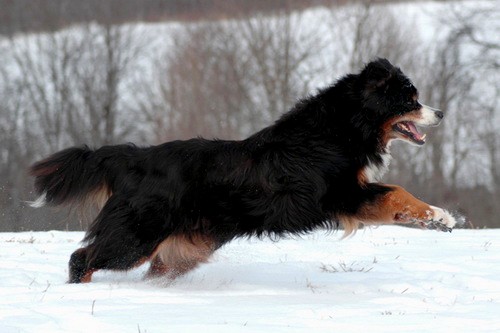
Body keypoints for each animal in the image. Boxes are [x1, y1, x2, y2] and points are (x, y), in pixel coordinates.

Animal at [28, 58, 458, 282]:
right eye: (410, 99)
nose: (441, 113)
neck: (342, 128)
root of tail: (133, 160)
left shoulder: (351, 194)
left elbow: (397, 203)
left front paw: (436, 220)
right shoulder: (341, 193)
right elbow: (397, 193)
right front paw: (442, 216)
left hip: (187, 246)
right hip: (136, 234)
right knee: (83, 258)